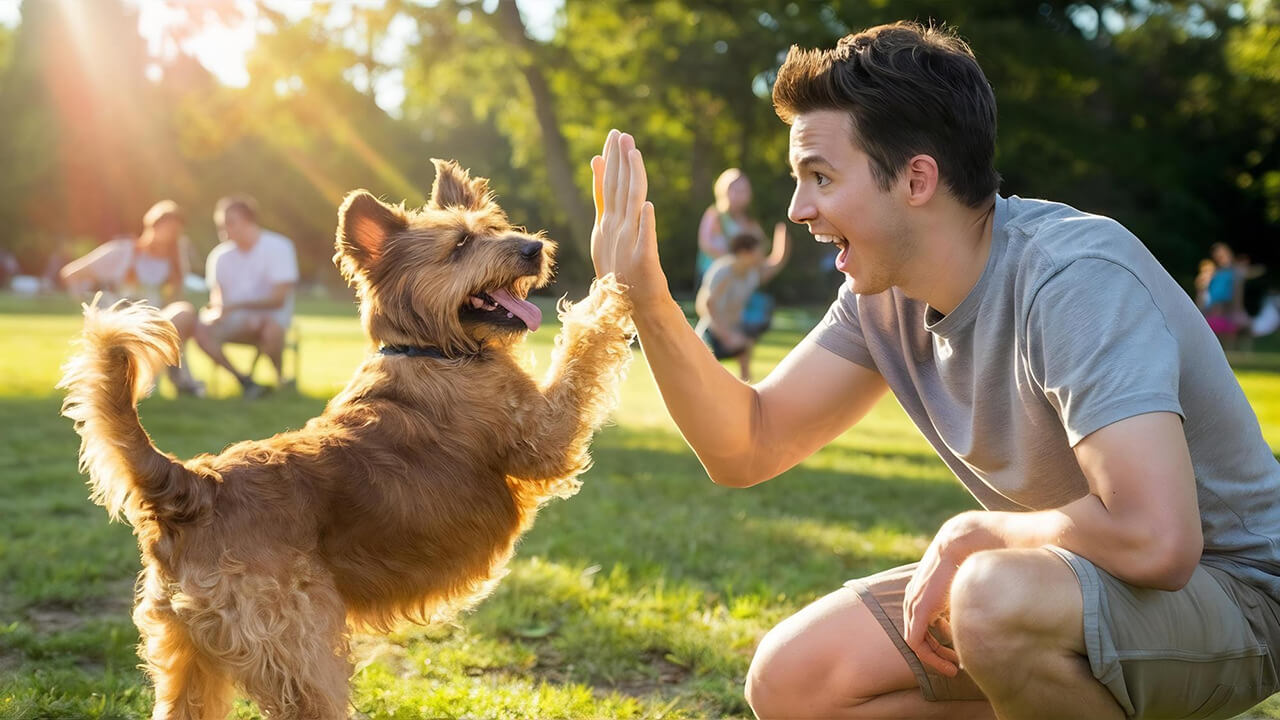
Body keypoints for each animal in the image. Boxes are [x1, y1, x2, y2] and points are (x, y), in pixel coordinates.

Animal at [58, 159, 634, 712]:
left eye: (493, 228)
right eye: (460, 245)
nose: (533, 248)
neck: (430, 349)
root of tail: (193, 485)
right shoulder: (544, 436)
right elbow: (581, 343)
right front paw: (615, 282)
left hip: (188, 661)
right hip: (303, 655)